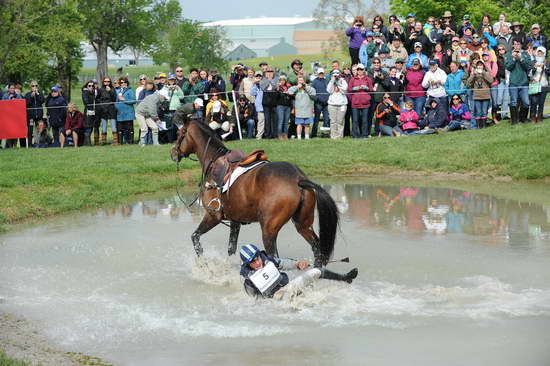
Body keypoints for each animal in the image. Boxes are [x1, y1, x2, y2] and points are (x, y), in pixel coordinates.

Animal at [170, 111, 338, 266]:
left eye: (179, 133)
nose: (173, 153)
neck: (213, 161)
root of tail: (298, 179)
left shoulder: (213, 216)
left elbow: (195, 237)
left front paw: (203, 261)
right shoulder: (235, 221)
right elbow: (231, 248)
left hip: (268, 230)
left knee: (274, 256)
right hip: (303, 224)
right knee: (317, 247)